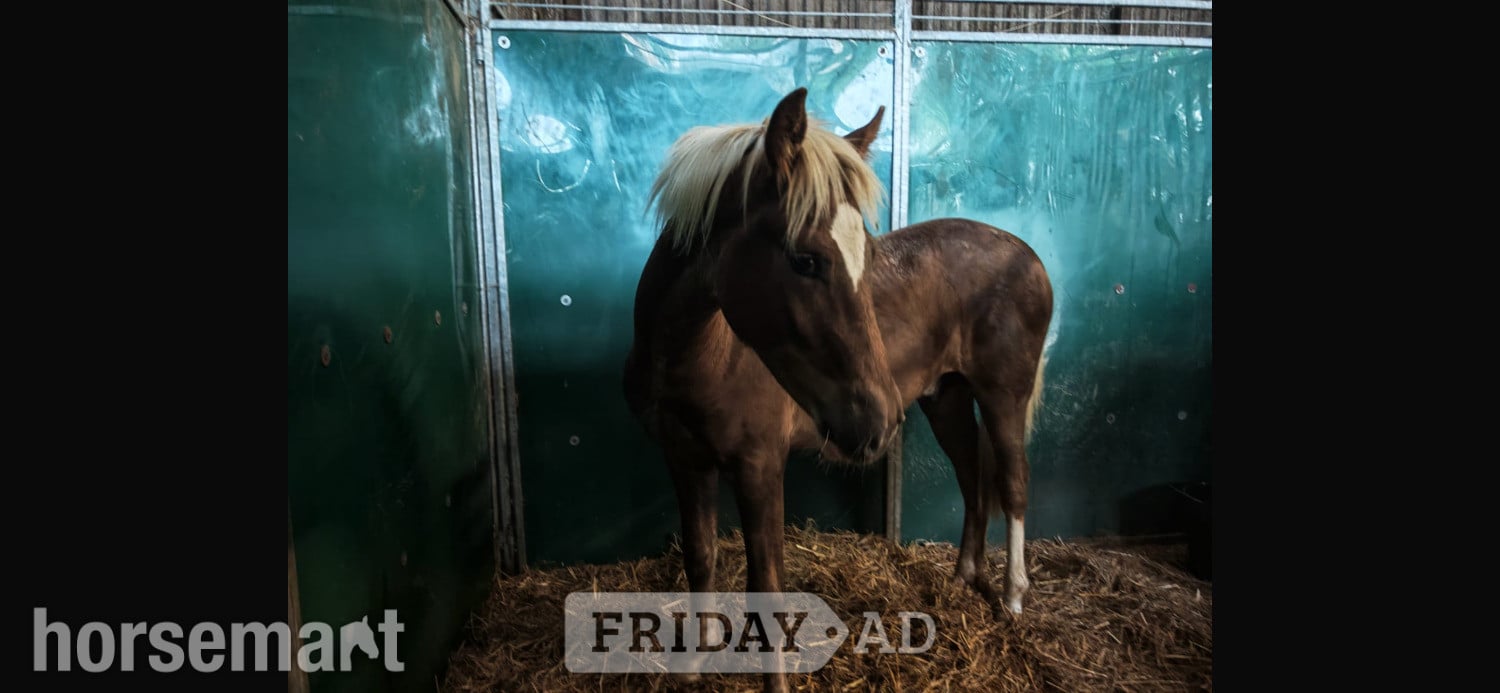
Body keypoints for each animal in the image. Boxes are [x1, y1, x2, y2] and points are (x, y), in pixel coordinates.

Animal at [623, 87, 1053, 691]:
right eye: (805, 259)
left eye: (866, 257)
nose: (876, 424)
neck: (696, 356)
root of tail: (1029, 255)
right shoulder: (685, 459)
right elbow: (700, 556)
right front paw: (694, 662)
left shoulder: (759, 466)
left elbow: (766, 585)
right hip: (945, 398)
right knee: (973, 477)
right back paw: (962, 580)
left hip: (1002, 395)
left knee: (1012, 483)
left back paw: (1012, 597)